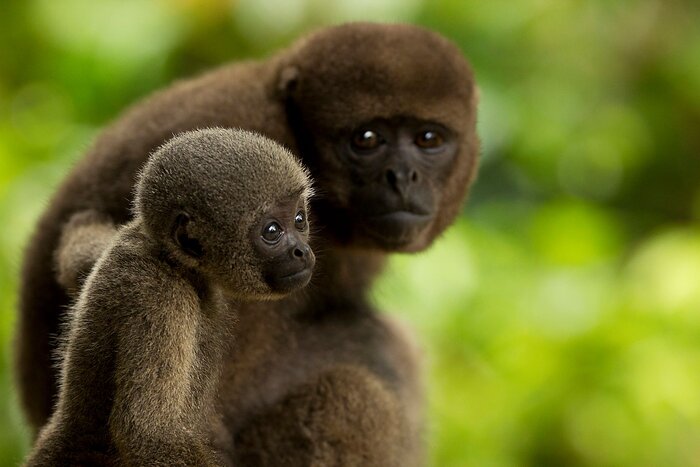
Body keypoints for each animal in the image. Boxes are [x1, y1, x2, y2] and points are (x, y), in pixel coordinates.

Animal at [24, 128, 315, 466]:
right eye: (272, 231)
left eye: (299, 220)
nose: (301, 251)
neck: (174, 264)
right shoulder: (161, 297)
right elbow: (149, 432)